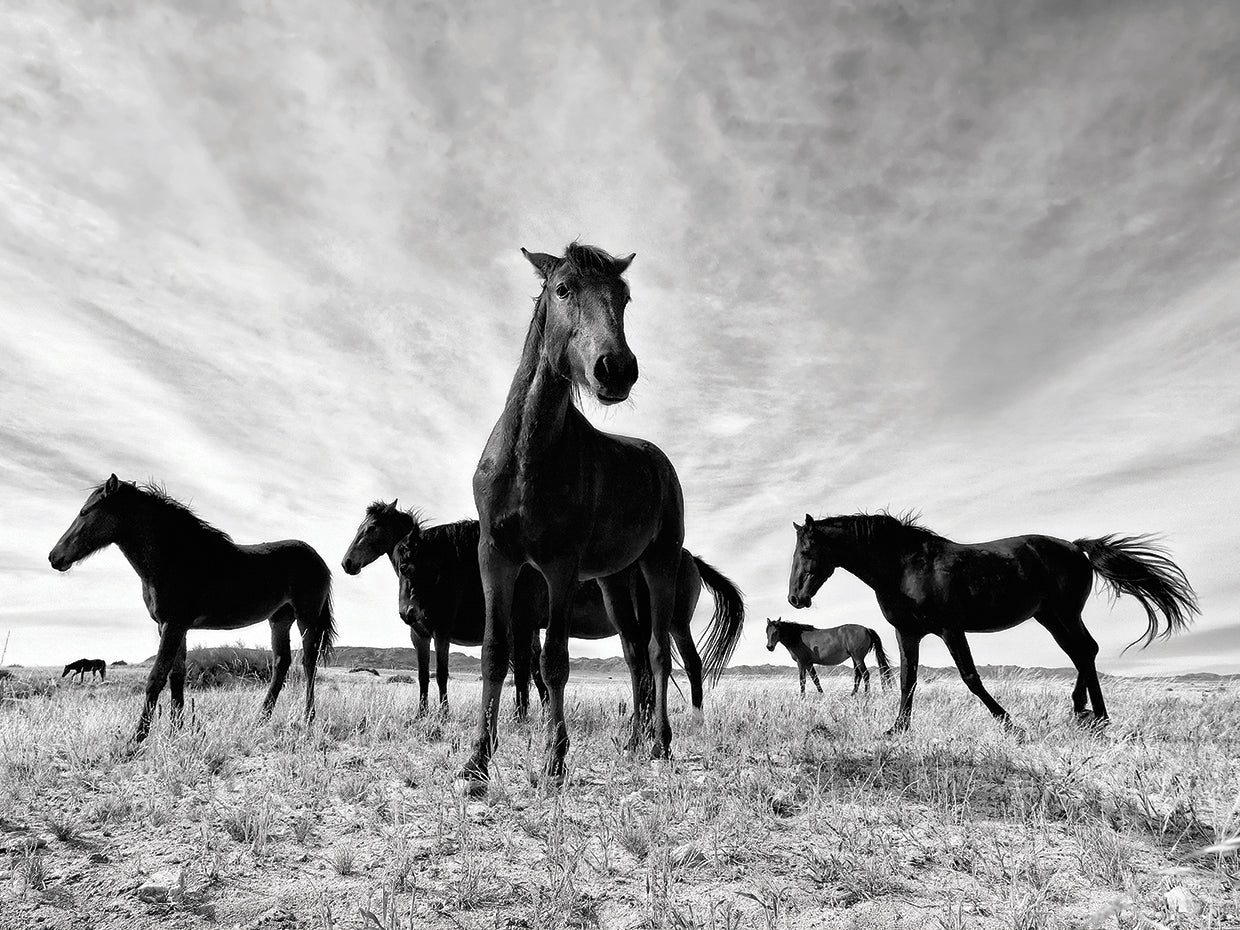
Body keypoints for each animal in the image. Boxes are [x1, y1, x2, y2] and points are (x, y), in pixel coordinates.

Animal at [48, 475, 336, 742]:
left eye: (85, 511)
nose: (54, 557)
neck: (176, 558)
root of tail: (318, 559)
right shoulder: (175, 627)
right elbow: (177, 676)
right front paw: (176, 730)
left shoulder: (173, 625)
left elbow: (156, 677)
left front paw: (137, 738)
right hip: (279, 619)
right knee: (281, 663)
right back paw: (261, 719)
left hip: (306, 618)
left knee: (308, 663)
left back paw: (307, 718)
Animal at [390, 508, 744, 717]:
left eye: (406, 566)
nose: (408, 614)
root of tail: (690, 558)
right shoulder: (529, 626)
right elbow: (532, 670)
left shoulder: (520, 623)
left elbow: (523, 670)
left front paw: (521, 716)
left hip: (677, 623)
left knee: (692, 664)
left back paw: (694, 717)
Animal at [465, 243, 689, 794]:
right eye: (563, 289)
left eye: (624, 297)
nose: (616, 368)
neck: (526, 457)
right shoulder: (495, 558)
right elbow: (495, 652)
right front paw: (477, 760)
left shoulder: (560, 568)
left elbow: (554, 663)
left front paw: (555, 760)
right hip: (614, 580)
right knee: (634, 653)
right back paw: (633, 741)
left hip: (660, 566)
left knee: (656, 651)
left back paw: (660, 743)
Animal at [787, 512, 1198, 733]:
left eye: (806, 550)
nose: (795, 598)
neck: (906, 565)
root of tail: (1076, 547)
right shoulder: (908, 633)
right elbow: (907, 680)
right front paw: (898, 728)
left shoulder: (950, 629)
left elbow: (970, 677)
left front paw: (1008, 722)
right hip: (1050, 617)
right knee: (1083, 653)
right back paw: (1086, 713)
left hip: (1064, 614)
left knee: (1085, 651)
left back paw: (1094, 714)